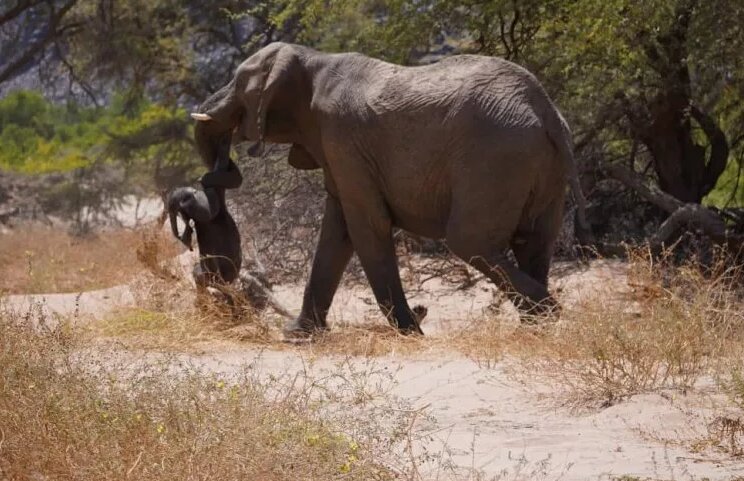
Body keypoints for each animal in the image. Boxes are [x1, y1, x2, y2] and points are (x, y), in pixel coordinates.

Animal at [190, 41, 588, 336]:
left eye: (238, 81)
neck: (311, 59)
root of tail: (546, 110)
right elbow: (337, 230)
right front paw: (298, 335)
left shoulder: (343, 139)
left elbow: (366, 226)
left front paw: (410, 332)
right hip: (540, 165)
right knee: (534, 240)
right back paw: (536, 327)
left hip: (496, 157)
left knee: (469, 240)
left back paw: (549, 313)